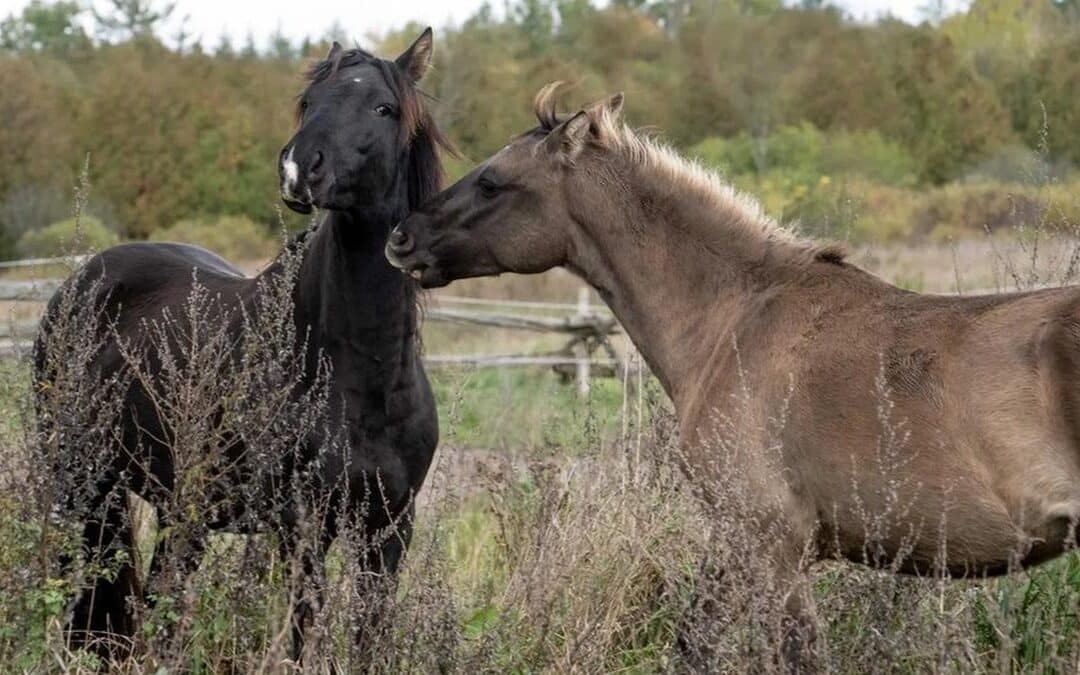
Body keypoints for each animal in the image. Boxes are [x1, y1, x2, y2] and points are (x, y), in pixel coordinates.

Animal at [34, 28, 450, 663]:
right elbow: (305, 635)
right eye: (308, 102)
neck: (362, 378)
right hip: (77, 476)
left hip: (179, 506)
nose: (299, 169)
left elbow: (370, 636)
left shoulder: (389, 529)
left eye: (383, 108)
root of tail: (85, 279)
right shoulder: (303, 528)